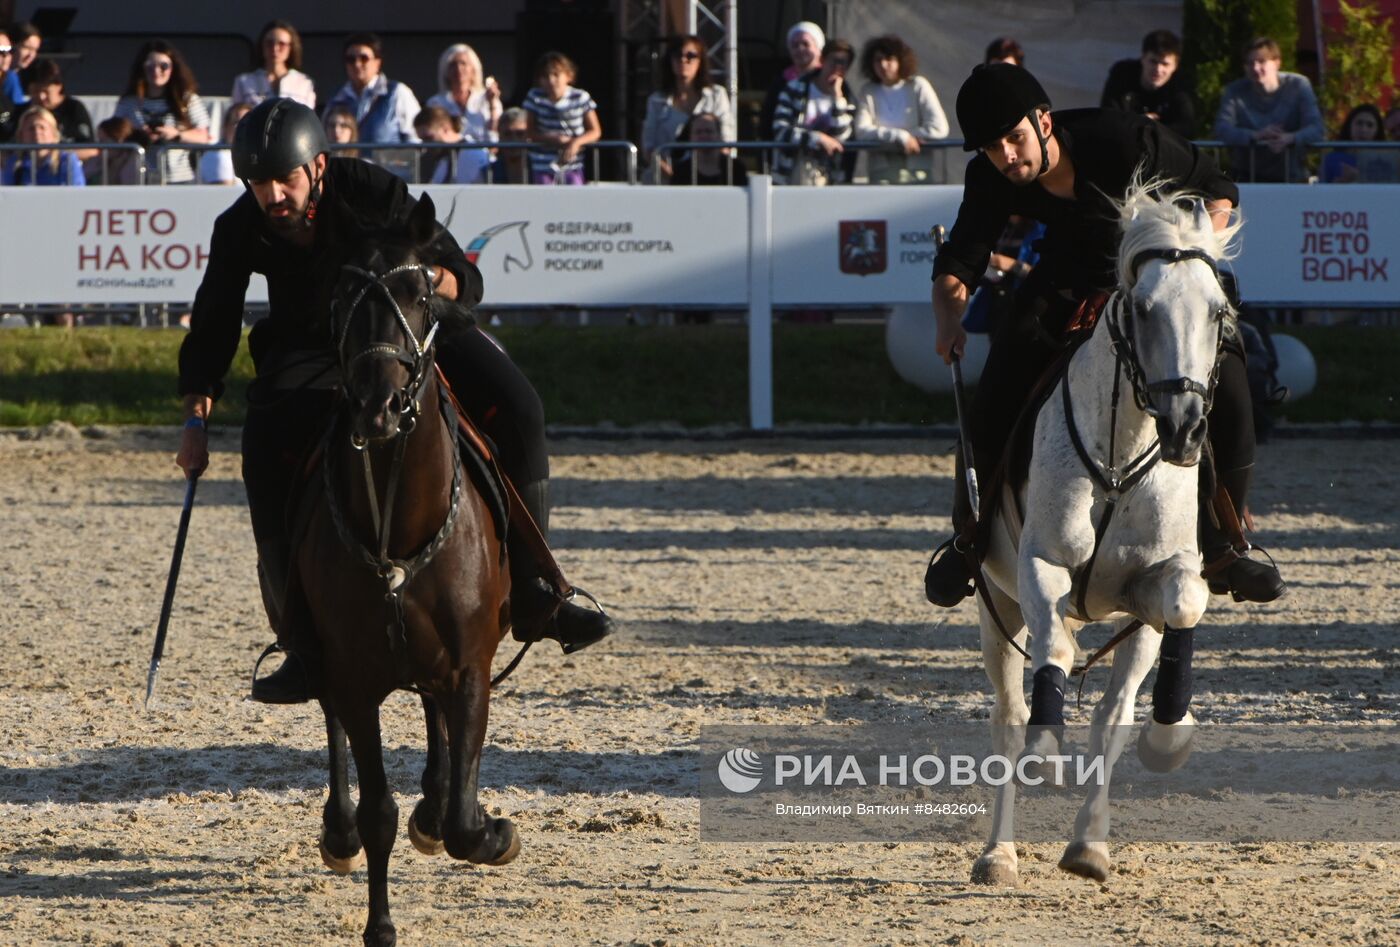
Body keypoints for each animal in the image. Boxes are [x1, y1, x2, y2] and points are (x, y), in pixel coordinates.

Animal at [294, 196, 520, 941]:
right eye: (340, 297)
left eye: (420, 294)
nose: (379, 406)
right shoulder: (356, 679)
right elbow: (377, 812)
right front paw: (380, 924)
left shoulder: (471, 666)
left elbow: (463, 819)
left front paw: (489, 829)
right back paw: (341, 830)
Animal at [968, 179, 1243, 885]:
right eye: (1143, 309)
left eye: (1216, 313)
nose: (1185, 429)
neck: (1121, 459)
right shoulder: (1040, 568)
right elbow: (1053, 654)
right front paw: (1045, 748)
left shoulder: (1153, 590)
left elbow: (1180, 610)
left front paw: (1168, 739)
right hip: (996, 602)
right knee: (1008, 716)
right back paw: (998, 852)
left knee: (1107, 714)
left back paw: (1088, 843)